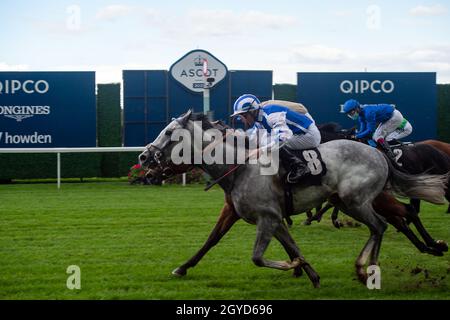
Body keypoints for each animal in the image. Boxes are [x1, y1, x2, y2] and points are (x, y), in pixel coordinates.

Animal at [139, 110, 448, 288]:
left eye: (169, 132)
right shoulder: (272, 218)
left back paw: (368, 269)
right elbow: (288, 246)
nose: (143, 157)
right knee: (390, 221)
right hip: (349, 201)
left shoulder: (266, 218)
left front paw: (295, 267)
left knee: (385, 223)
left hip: (356, 201)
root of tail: (379, 153)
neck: (240, 167)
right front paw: (309, 272)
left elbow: (257, 257)